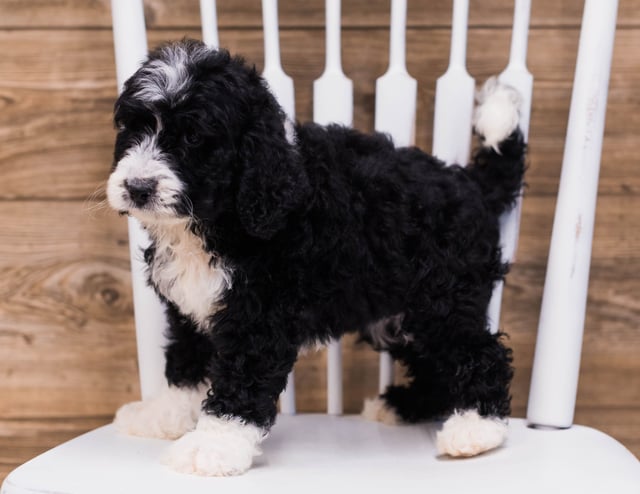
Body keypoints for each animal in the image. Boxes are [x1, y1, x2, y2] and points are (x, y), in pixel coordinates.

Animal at [109, 40, 524, 476]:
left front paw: (213, 445)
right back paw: (402, 407)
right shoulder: (189, 310)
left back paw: (477, 429)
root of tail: (471, 183)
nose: (137, 187)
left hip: (441, 301)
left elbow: (241, 381)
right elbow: (185, 365)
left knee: (481, 353)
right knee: (437, 368)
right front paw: (164, 417)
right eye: (131, 129)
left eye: (192, 139)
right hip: (397, 316)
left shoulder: (259, 317)